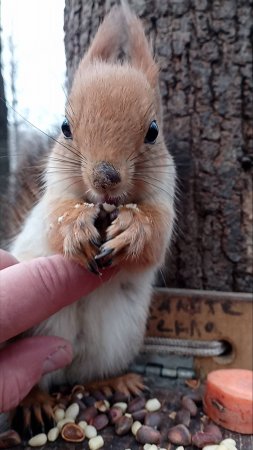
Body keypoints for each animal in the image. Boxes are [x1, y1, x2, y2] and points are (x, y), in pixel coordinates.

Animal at [7, 1, 175, 416]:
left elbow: (156, 238)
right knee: (41, 380)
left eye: (153, 131)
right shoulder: (52, 197)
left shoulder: (165, 197)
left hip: (116, 342)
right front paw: (75, 228)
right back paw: (34, 400)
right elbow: (55, 220)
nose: (105, 177)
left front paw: (133, 230)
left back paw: (116, 381)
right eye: (65, 127)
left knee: (90, 373)